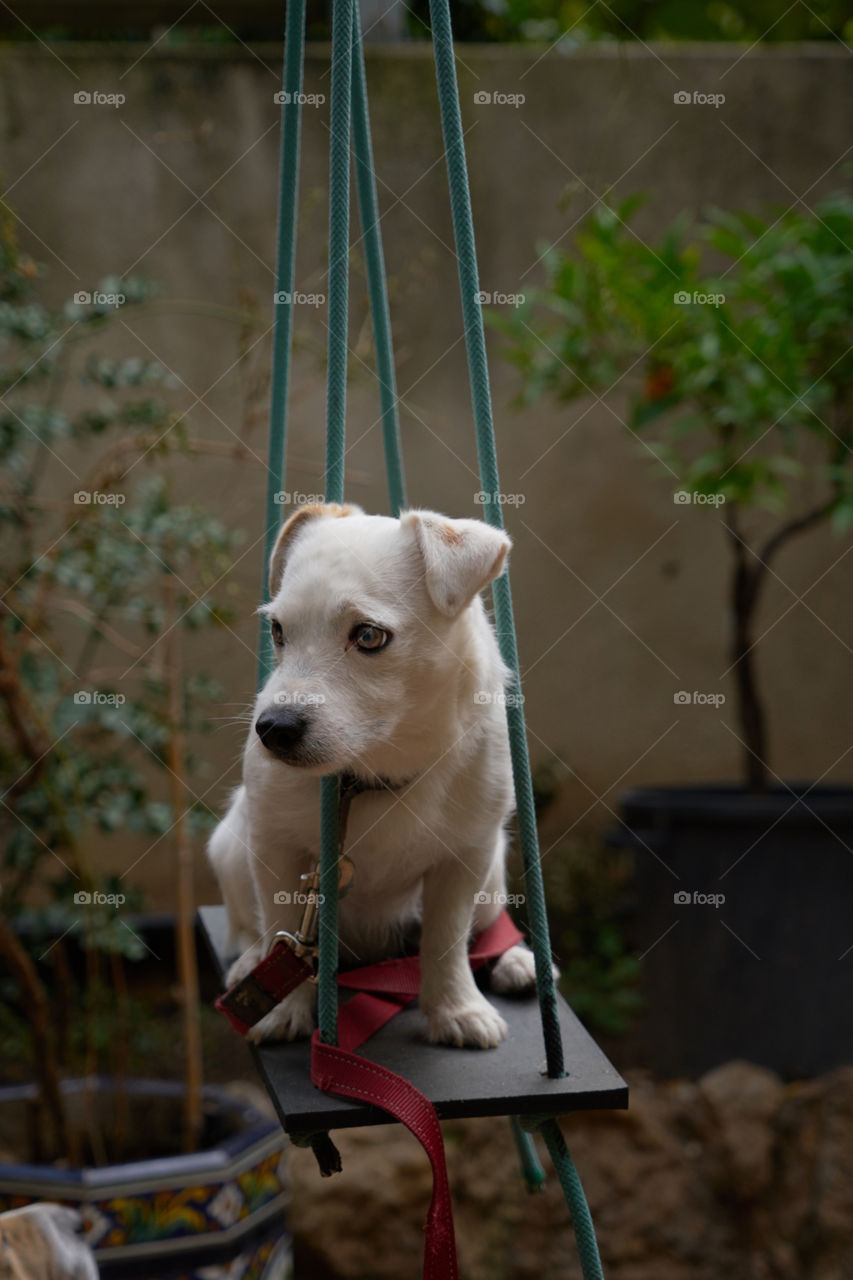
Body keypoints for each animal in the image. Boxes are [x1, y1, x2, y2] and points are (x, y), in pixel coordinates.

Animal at [207, 506, 537, 1049]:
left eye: (368, 636)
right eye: (277, 630)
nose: (272, 729)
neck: (371, 773)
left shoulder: (464, 859)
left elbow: (446, 940)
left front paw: (456, 1007)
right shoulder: (275, 847)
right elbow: (279, 924)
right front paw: (282, 1007)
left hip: (491, 876)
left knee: (485, 928)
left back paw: (515, 959)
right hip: (231, 848)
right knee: (248, 927)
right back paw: (252, 963)